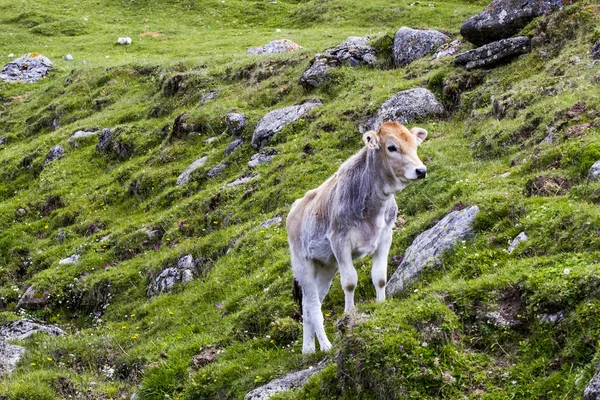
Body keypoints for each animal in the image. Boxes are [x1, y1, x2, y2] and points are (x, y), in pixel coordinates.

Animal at [286, 122, 426, 354]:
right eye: (392, 147)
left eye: (415, 145)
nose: (421, 170)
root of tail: (296, 208)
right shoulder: (340, 241)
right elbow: (350, 282)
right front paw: (349, 314)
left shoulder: (385, 237)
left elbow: (380, 277)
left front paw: (381, 305)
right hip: (303, 264)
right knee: (313, 305)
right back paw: (325, 346)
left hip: (326, 266)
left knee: (307, 306)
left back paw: (308, 350)